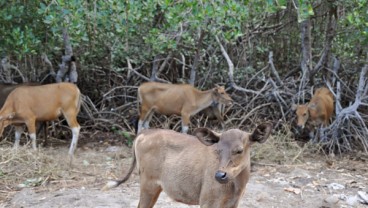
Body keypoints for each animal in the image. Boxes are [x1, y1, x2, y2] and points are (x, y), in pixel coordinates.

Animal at [104, 122, 274, 207]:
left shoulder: (233, 204)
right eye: (218, 150)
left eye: (239, 150)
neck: (236, 187)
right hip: (148, 183)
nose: (220, 175)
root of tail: (144, 133)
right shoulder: (208, 201)